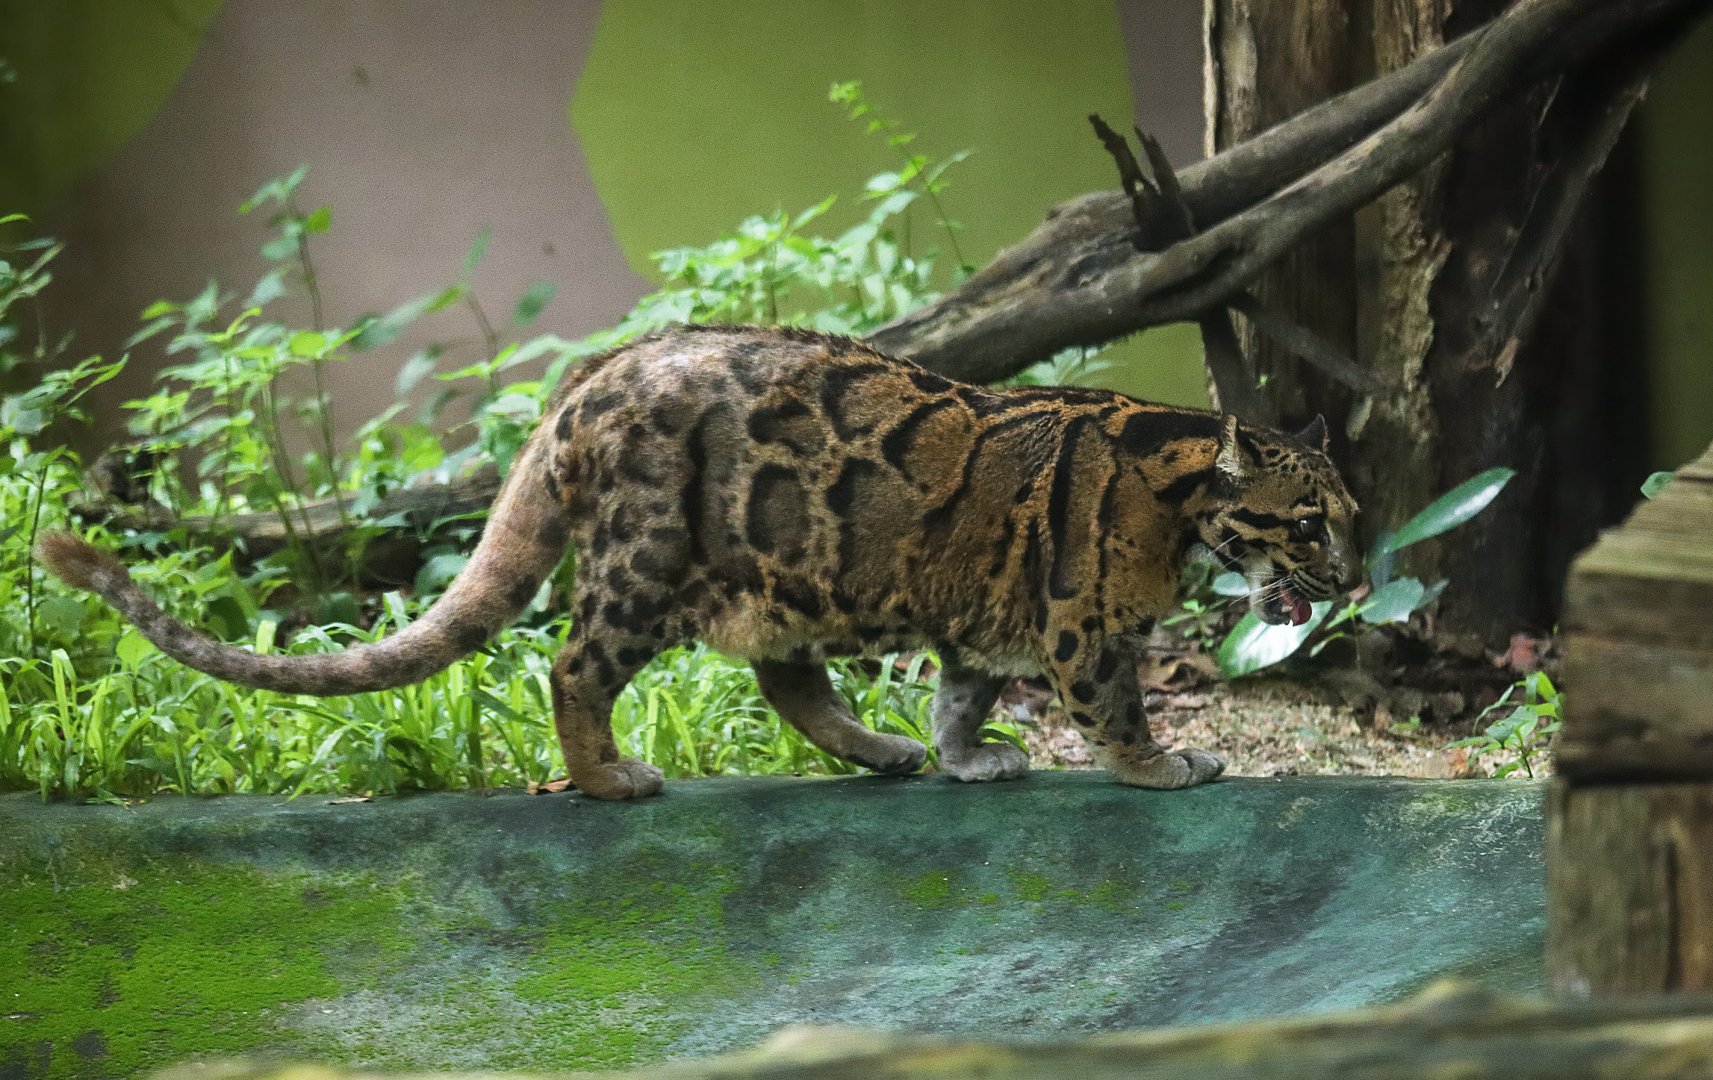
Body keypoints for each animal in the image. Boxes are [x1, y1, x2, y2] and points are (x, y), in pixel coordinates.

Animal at [40, 324, 1362, 800]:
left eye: (1352, 512)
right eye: (1309, 523)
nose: (1352, 580)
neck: (1183, 486)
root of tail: (592, 377)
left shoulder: (990, 612)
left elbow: (961, 690)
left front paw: (960, 754)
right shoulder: (1080, 620)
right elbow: (1114, 706)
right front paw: (1164, 765)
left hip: (796, 580)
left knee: (789, 682)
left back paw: (879, 751)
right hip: (648, 564)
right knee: (572, 665)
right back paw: (603, 777)